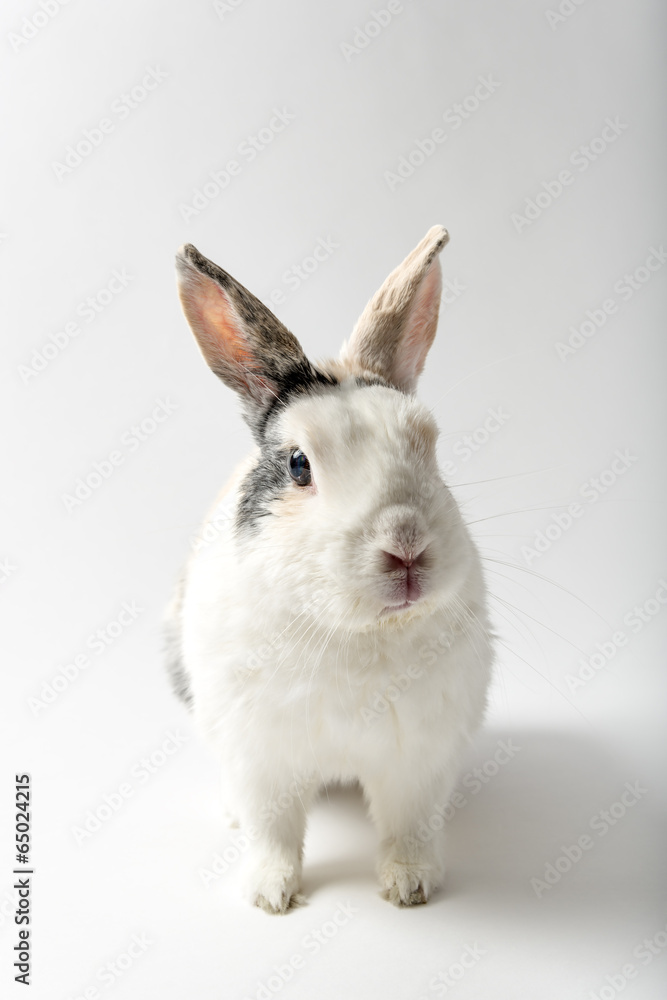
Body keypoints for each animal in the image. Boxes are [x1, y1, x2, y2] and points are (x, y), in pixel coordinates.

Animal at [164, 225, 494, 913]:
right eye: (298, 465)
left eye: (429, 444)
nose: (406, 546)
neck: (352, 628)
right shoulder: (261, 759)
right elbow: (273, 831)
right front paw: (270, 895)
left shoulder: (416, 763)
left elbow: (407, 826)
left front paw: (410, 887)